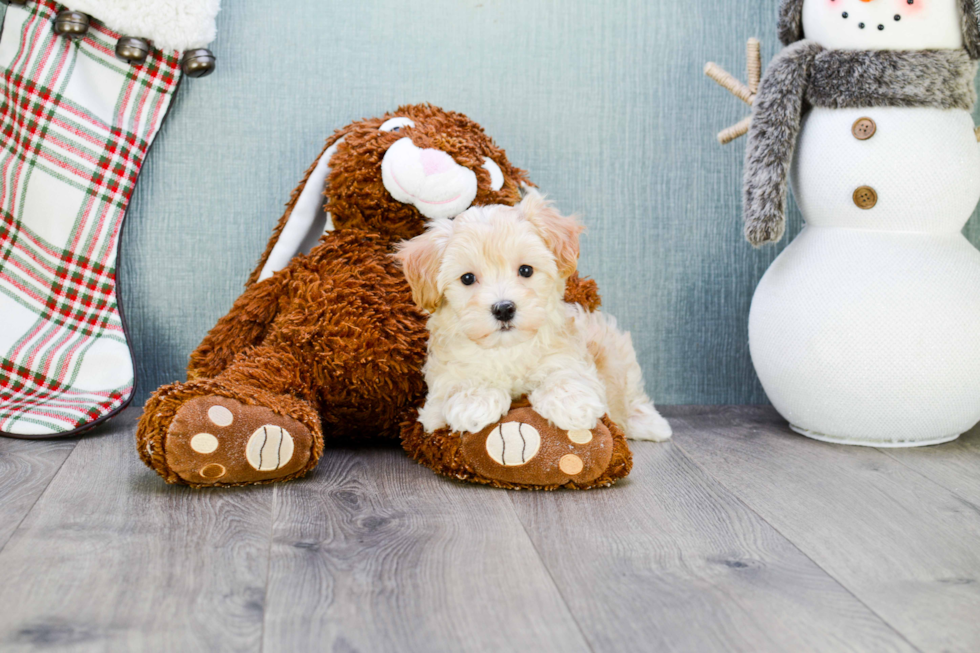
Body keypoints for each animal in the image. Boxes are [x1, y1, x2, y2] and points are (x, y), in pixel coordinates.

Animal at [394, 191, 668, 440]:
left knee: (631, 393)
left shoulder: (568, 354)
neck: (507, 349)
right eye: (468, 278)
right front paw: (475, 401)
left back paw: (649, 424)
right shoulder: (436, 397)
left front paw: (570, 403)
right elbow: (458, 383)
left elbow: (566, 373)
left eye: (526, 270)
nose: (504, 308)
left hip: (615, 351)